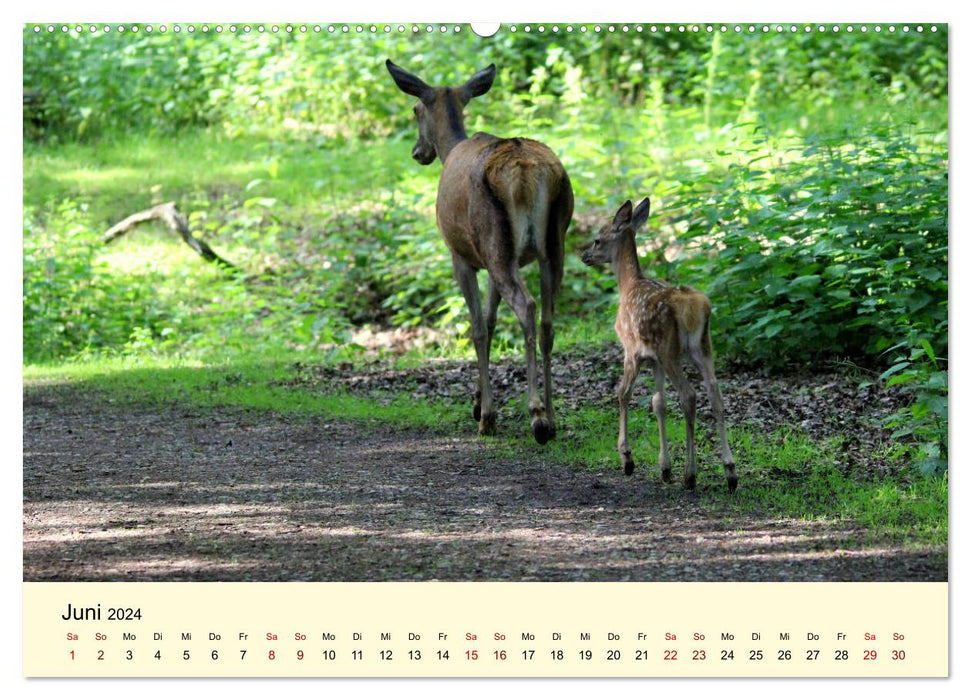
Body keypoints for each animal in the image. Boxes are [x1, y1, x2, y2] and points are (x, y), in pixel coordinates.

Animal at [386, 61, 572, 442]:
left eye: (415, 110)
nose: (417, 152)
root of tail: (527, 171)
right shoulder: (490, 261)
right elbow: (490, 318)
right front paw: (476, 401)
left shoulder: (462, 257)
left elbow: (477, 328)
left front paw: (485, 414)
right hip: (549, 244)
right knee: (547, 321)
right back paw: (552, 415)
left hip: (495, 240)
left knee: (527, 307)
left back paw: (536, 415)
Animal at [584, 197, 736, 492]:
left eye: (598, 239)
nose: (585, 256)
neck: (628, 285)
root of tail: (692, 307)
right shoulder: (653, 359)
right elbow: (659, 403)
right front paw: (665, 468)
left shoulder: (632, 350)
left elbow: (623, 394)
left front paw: (627, 458)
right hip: (703, 348)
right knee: (715, 394)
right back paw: (730, 472)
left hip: (671, 350)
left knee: (690, 395)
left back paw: (691, 474)